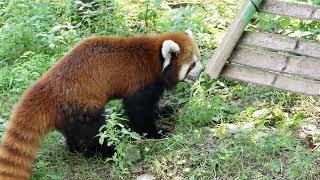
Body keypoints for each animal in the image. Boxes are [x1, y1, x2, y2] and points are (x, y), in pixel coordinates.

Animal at [0, 30, 202, 179]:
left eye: (198, 60)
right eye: (192, 64)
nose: (201, 70)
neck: (153, 58)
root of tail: (47, 88)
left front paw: (164, 111)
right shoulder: (140, 83)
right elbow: (138, 112)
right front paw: (156, 132)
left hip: (68, 113)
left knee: (75, 134)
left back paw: (76, 148)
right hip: (82, 104)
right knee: (92, 132)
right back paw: (107, 152)